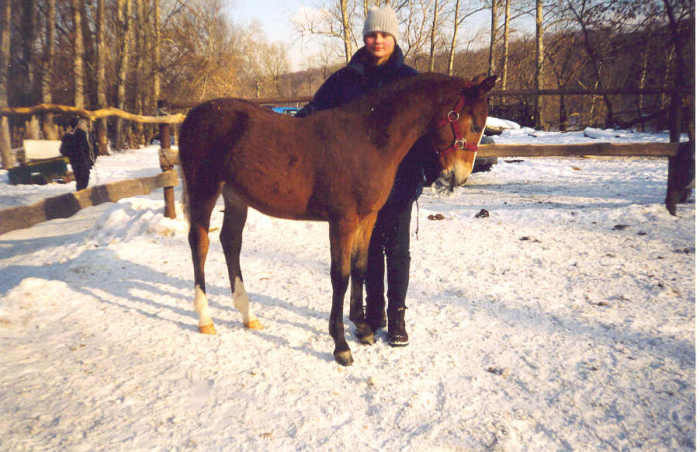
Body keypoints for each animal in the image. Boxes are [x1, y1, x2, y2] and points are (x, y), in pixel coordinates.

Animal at [179, 72, 498, 366]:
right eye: (474, 124)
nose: (458, 177)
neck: (368, 140)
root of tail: (192, 116)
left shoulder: (367, 218)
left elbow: (360, 268)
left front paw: (364, 328)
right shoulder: (342, 221)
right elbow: (340, 276)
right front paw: (341, 345)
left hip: (235, 196)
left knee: (231, 242)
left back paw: (248, 314)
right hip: (204, 190)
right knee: (200, 243)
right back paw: (205, 318)